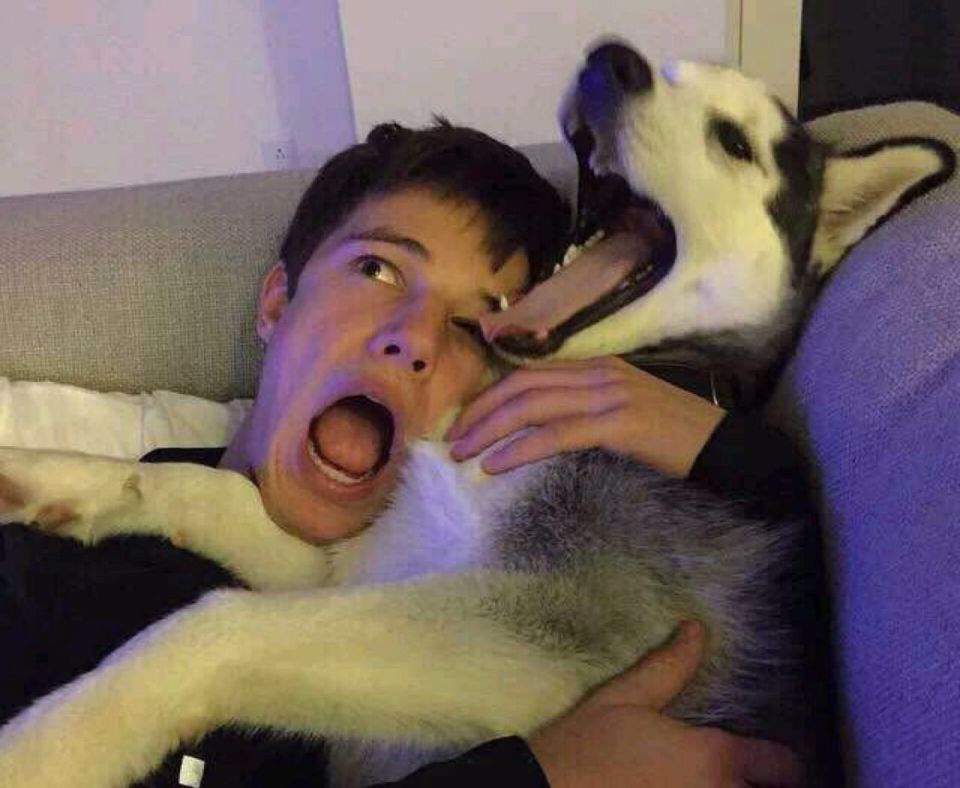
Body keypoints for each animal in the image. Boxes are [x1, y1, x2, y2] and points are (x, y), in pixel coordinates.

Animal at [0, 42, 953, 787]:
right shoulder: (362, 564)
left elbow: (218, 625)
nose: (610, 59)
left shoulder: (551, 630)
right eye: (668, 69)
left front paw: (47, 749)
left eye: (733, 141)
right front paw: (49, 477)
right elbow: (207, 492)